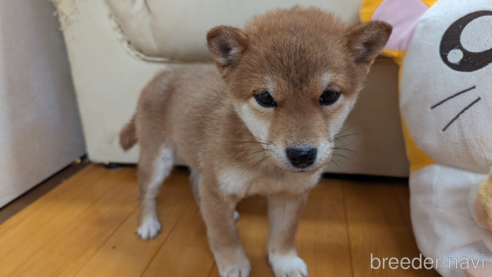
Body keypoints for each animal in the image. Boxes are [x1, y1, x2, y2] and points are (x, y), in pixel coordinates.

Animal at [120, 6, 392, 276]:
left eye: (329, 95)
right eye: (265, 98)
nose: (302, 155)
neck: (266, 164)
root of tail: (161, 74)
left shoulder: (290, 195)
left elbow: (284, 235)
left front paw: (284, 262)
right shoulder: (217, 189)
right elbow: (224, 235)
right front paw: (233, 264)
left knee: (195, 181)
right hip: (159, 158)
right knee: (146, 192)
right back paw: (147, 223)